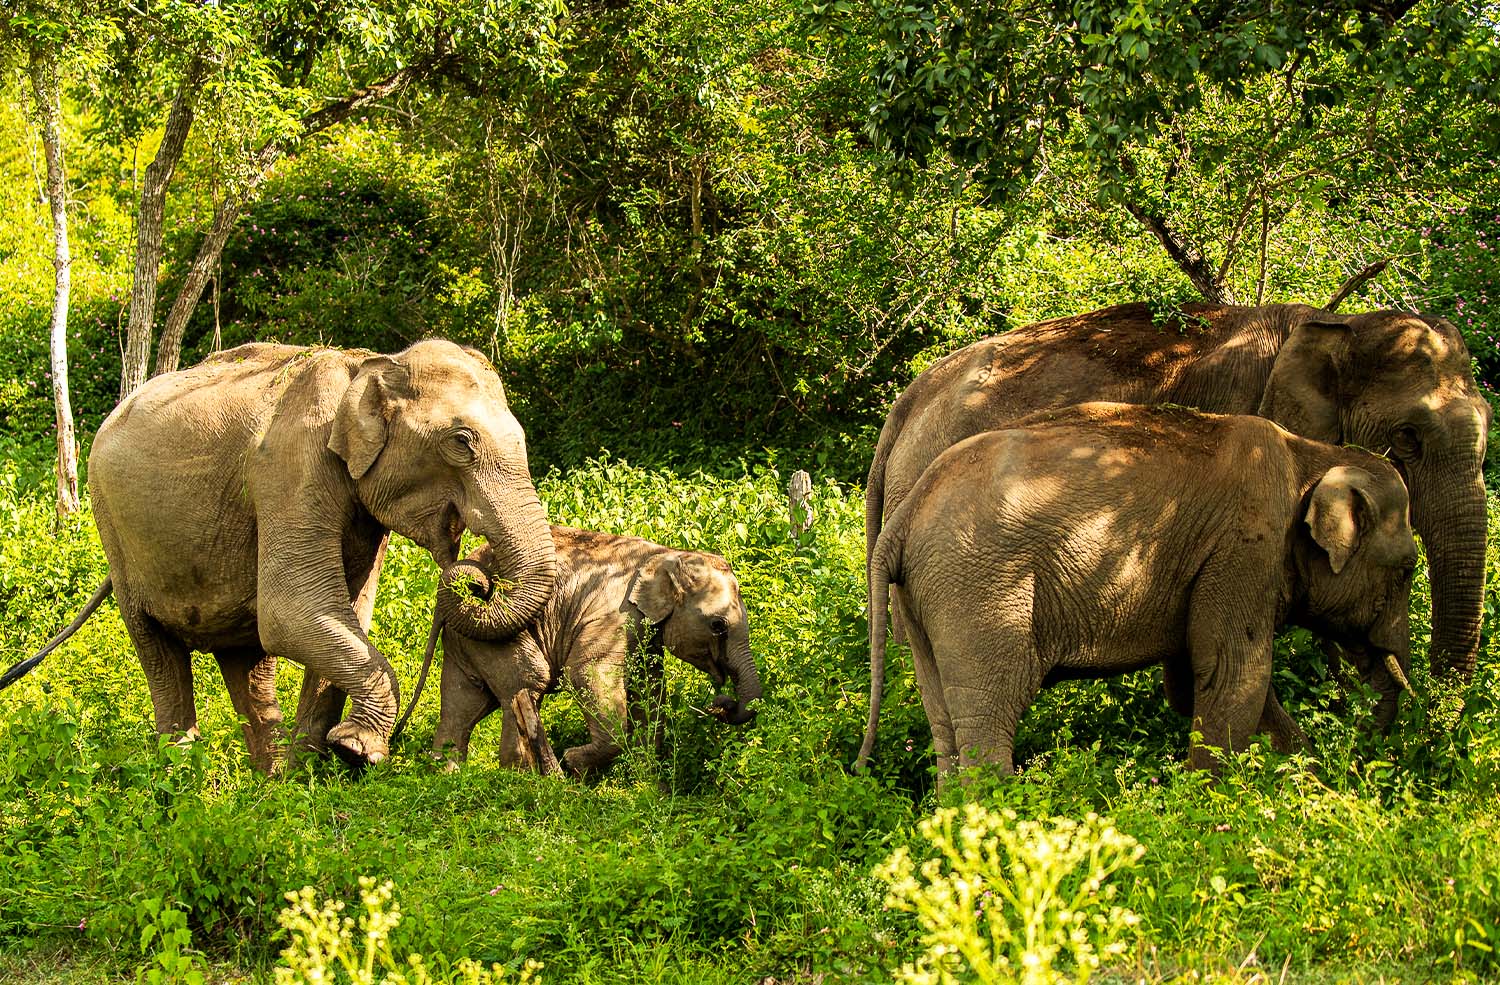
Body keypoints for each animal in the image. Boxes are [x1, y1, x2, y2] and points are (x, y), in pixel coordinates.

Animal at [0, 341, 558, 773]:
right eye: (461, 442)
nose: (474, 578)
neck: (366, 365)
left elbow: (346, 614)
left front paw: (315, 768)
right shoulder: (291, 466)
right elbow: (295, 611)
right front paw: (357, 752)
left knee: (247, 664)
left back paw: (266, 781)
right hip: (113, 529)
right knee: (156, 645)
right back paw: (180, 776)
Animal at [432, 527, 762, 773]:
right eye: (718, 625)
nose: (721, 703)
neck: (666, 554)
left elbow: (649, 687)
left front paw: (645, 775)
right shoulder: (614, 615)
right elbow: (586, 672)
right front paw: (573, 761)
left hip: (468, 639)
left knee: (463, 702)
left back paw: (448, 774)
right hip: (494, 632)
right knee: (527, 684)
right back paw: (526, 778)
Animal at [858, 404, 1416, 779]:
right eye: (1409, 569)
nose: (1366, 754)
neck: (1312, 455)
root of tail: (904, 516)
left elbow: (1194, 682)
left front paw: (1308, 776)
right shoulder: (1245, 547)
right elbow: (1234, 673)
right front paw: (1211, 805)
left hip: (926, 595)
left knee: (943, 724)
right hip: (979, 589)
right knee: (988, 717)